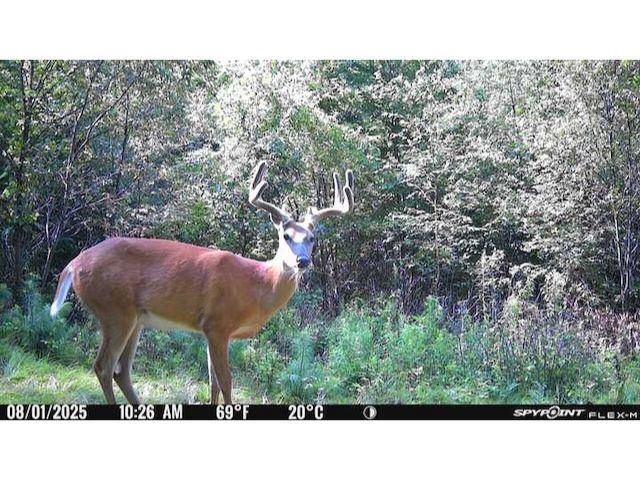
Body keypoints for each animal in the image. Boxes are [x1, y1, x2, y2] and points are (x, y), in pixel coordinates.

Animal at [49, 161, 354, 405]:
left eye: (312, 238)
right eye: (286, 236)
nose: (302, 261)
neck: (257, 284)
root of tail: (75, 264)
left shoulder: (211, 331)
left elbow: (213, 383)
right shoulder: (217, 323)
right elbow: (227, 382)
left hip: (134, 318)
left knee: (121, 370)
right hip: (114, 309)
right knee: (103, 365)